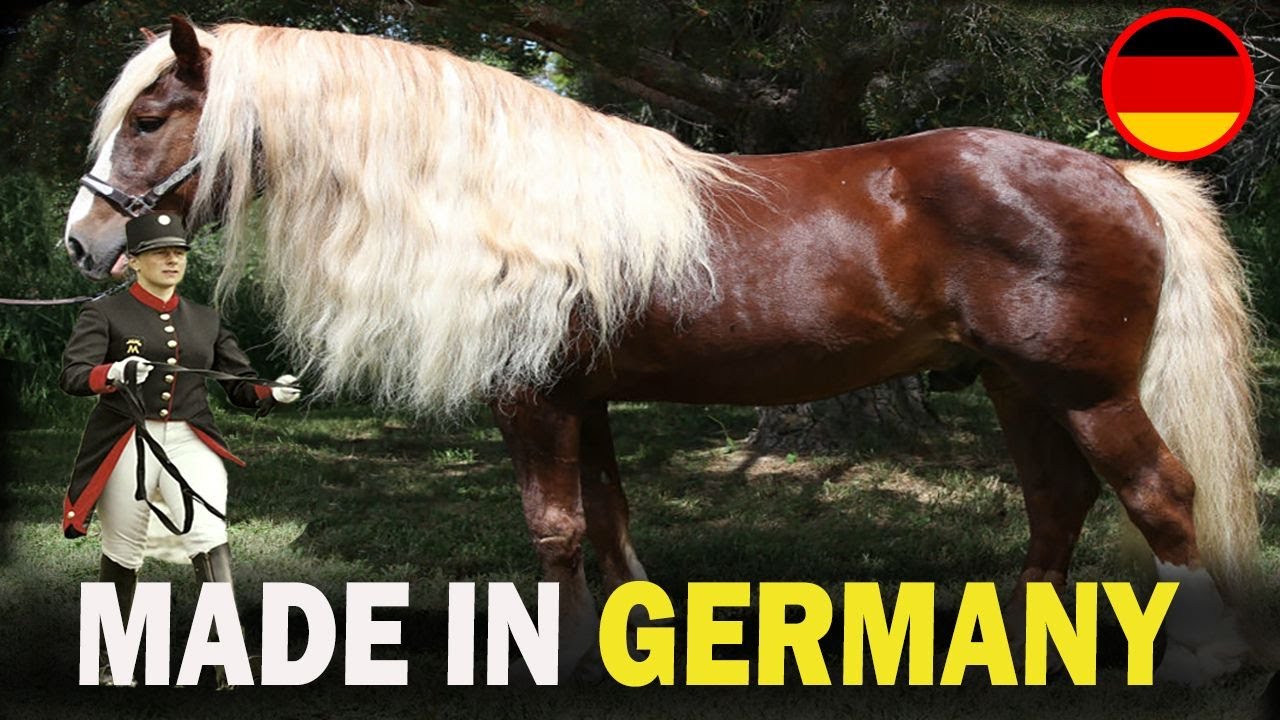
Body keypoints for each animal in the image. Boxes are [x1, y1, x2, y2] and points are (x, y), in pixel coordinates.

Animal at [64, 17, 1262, 684]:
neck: (502, 198)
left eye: (153, 118)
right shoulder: (583, 398)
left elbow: (555, 529)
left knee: (1157, 495)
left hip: (1087, 390)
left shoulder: (532, 399)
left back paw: (1201, 656)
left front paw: (553, 657)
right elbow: (609, 519)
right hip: (1019, 389)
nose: (82, 242)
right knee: (1057, 502)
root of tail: (1120, 176)